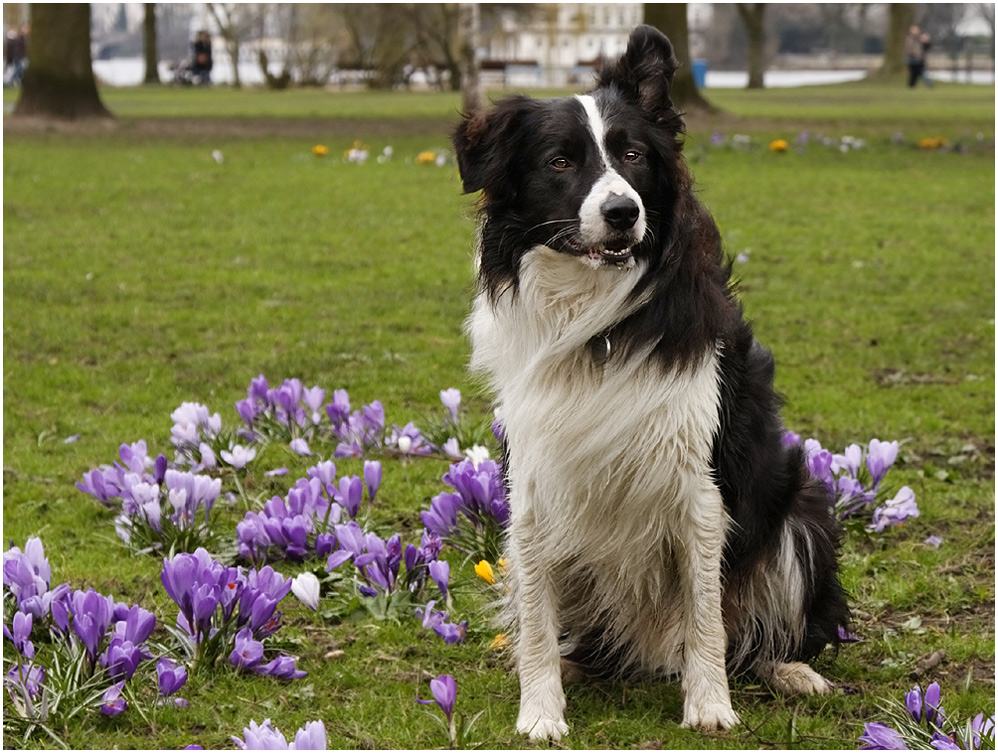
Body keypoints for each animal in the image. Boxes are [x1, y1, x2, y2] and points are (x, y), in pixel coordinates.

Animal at [454, 26, 852, 744]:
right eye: (560, 161)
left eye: (634, 155)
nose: (621, 212)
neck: (598, 318)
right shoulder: (534, 480)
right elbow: (536, 615)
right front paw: (540, 709)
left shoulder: (700, 484)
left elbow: (706, 613)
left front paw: (710, 704)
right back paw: (575, 663)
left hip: (801, 515)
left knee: (757, 631)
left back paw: (789, 670)